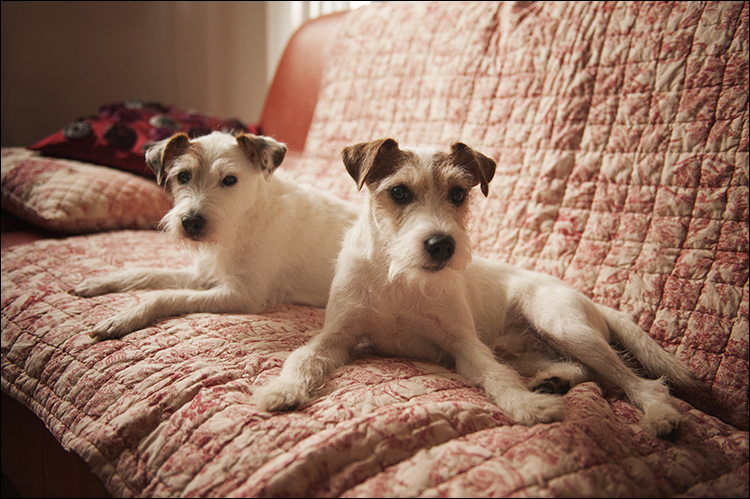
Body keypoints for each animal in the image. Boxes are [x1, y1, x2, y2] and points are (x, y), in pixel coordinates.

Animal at [72, 129, 358, 342]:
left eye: (229, 180)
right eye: (183, 176)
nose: (191, 223)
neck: (243, 223)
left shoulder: (241, 294)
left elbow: (165, 295)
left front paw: (122, 319)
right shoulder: (204, 273)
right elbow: (147, 273)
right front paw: (101, 282)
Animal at [258, 137, 700, 438]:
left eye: (458, 193)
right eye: (398, 192)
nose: (442, 244)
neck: (400, 278)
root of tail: (593, 301)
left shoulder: (465, 346)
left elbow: (496, 377)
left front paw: (525, 406)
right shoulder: (336, 336)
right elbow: (302, 358)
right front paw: (281, 390)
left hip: (563, 325)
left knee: (638, 382)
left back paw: (659, 414)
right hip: (523, 346)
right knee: (580, 368)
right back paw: (554, 381)